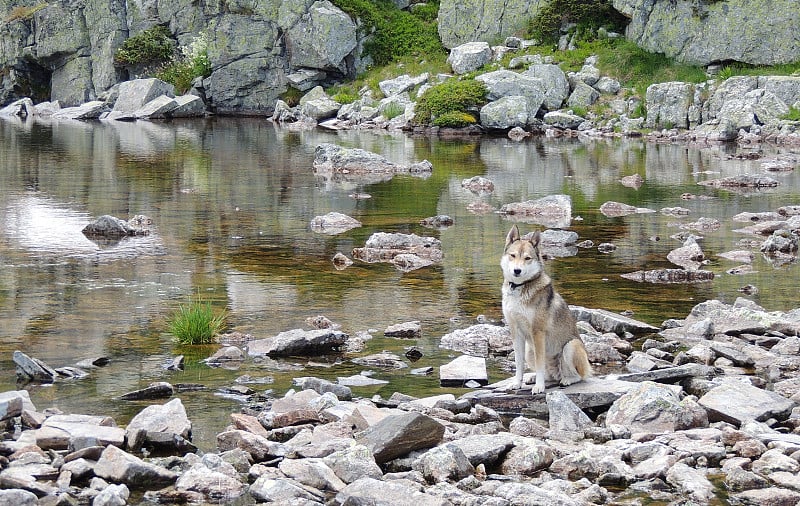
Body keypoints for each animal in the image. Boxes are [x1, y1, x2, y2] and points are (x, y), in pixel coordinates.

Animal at [500, 225, 592, 396]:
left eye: (527, 258)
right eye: (513, 255)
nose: (517, 271)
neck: (520, 287)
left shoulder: (538, 333)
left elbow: (540, 364)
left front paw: (539, 386)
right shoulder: (515, 331)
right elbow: (518, 363)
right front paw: (517, 383)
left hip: (570, 347)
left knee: (579, 376)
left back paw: (567, 380)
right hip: (529, 350)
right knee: (550, 375)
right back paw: (533, 377)